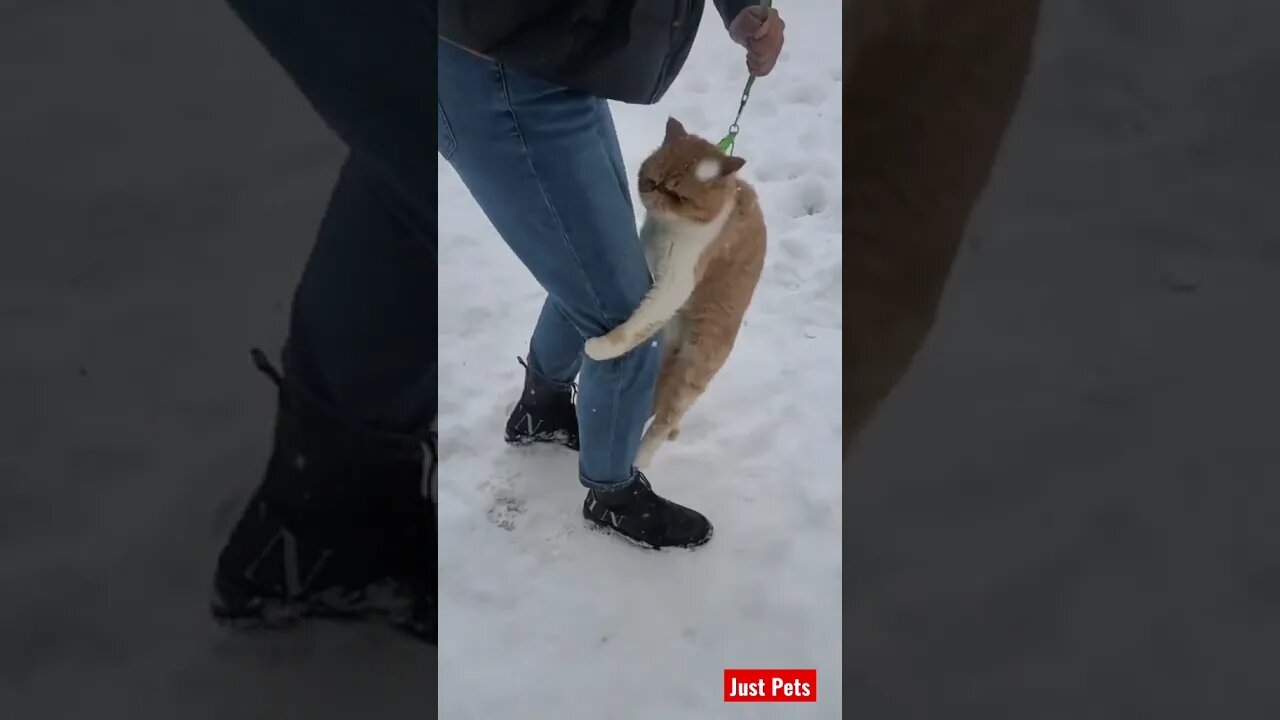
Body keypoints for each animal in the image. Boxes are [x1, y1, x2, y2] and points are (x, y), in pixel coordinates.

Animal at [586, 117, 762, 466]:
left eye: (678, 194)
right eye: (652, 180)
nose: (656, 192)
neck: (666, 227)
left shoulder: (673, 284)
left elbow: (629, 329)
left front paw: (596, 347)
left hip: (693, 367)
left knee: (665, 419)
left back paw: (640, 459)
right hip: (665, 361)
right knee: (654, 408)